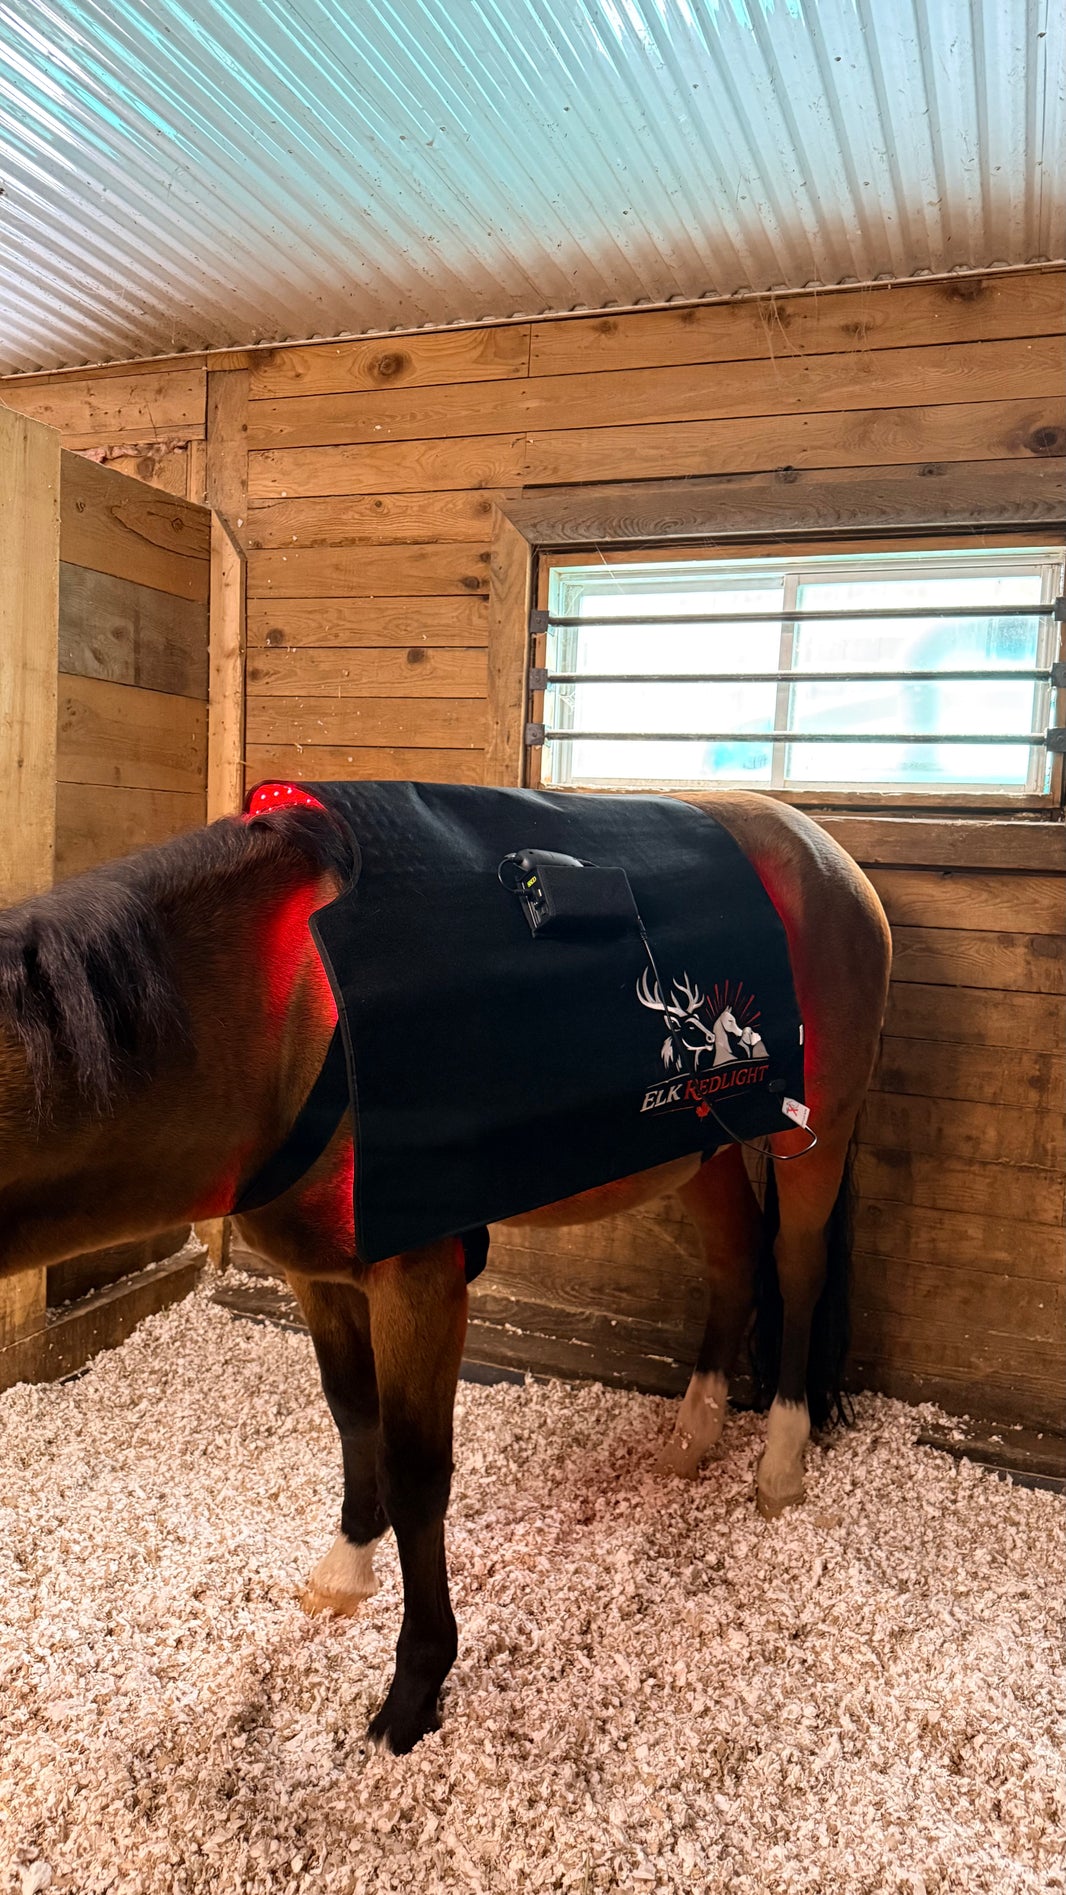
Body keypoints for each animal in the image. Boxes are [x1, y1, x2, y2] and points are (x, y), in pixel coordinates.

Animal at [0, 788, 891, 1754]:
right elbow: (353, 1419)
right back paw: (693, 1433)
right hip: (699, 1141)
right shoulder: (319, 1278)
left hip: (815, 1127)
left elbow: (417, 1470)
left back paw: (780, 1461)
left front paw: (416, 1684)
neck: (284, 1015)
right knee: (734, 1261)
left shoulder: (418, 1280)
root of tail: (825, 850)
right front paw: (348, 1567)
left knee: (794, 1271)